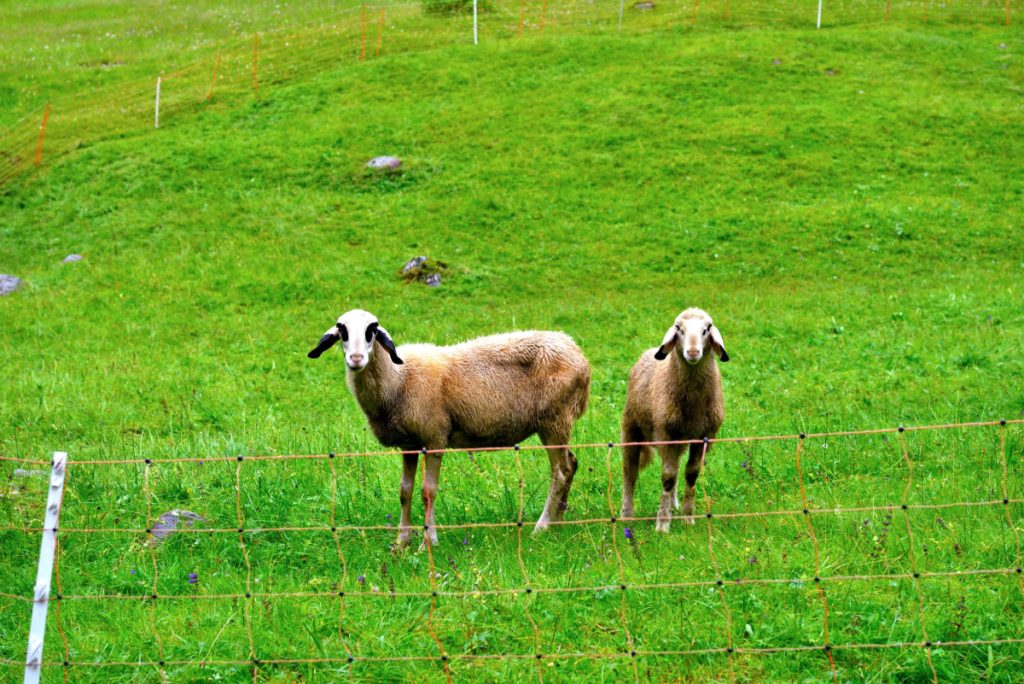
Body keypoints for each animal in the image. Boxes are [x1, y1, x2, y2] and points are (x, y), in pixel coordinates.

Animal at [308, 309, 591, 546]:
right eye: (342, 330)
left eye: (373, 329)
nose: (356, 359)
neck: (398, 379)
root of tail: (578, 353)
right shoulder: (409, 445)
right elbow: (404, 491)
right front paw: (401, 542)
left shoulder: (434, 438)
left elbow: (428, 492)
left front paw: (428, 542)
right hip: (556, 422)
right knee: (572, 463)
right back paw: (558, 522)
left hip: (554, 419)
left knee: (560, 472)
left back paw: (541, 527)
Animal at [619, 308, 729, 533]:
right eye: (679, 329)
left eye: (707, 329)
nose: (693, 352)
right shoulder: (666, 434)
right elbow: (668, 477)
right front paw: (662, 524)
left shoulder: (703, 437)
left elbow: (691, 473)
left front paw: (688, 517)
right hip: (631, 427)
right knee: (629, 473)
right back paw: (627, 515)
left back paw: (674, 504)